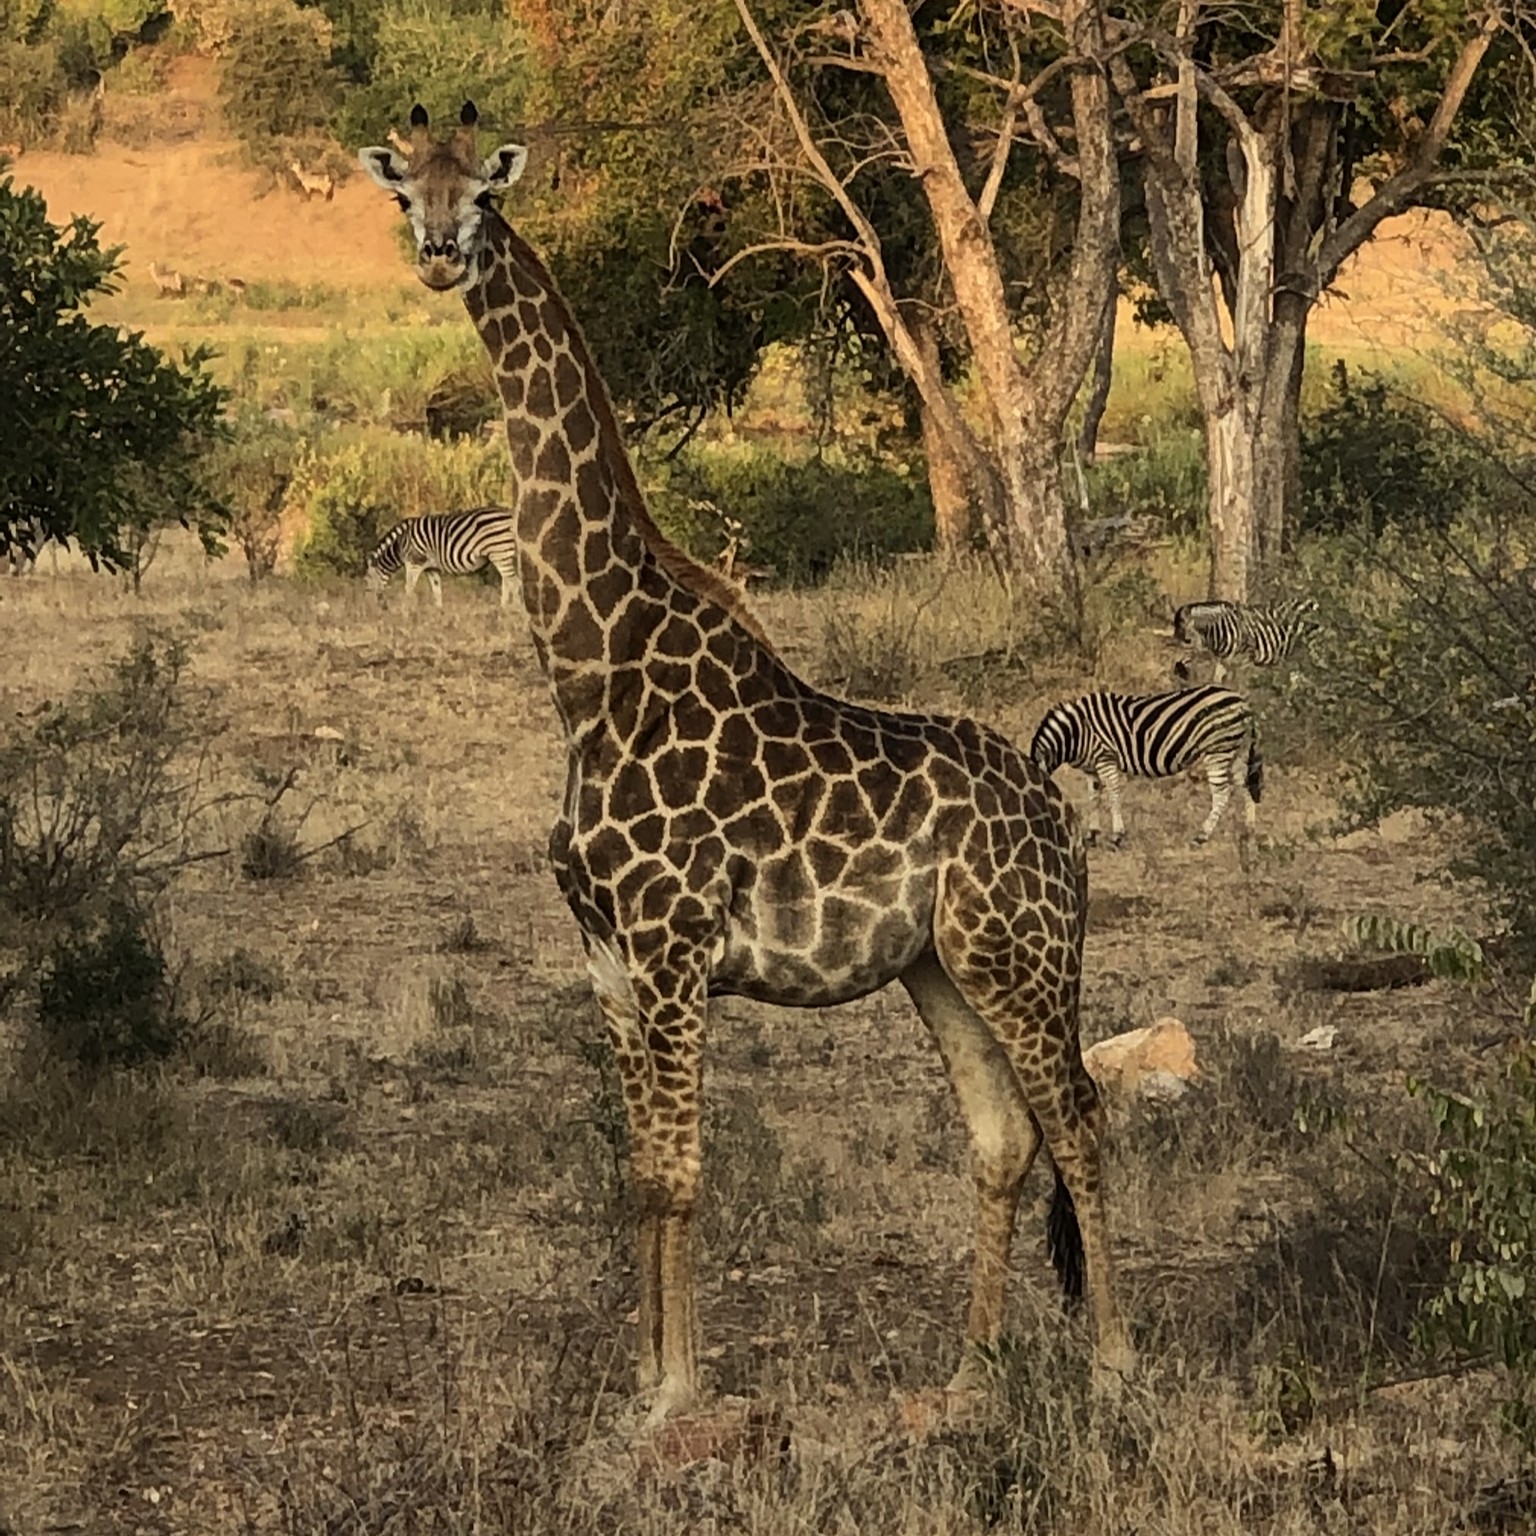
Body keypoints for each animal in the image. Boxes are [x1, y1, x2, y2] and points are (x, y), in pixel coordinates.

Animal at [360, 103, 1135, 1427]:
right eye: (403, 188)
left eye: (487, 192)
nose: (440, 253)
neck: (590, 669)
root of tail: (1060, 821)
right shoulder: (606, 959)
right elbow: (642, 1175)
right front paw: (640, 1388)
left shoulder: (672, 949)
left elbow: (682, 1172)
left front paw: (678, 1398)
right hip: (942, 965)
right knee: (1004, 1136)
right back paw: (965, 1381)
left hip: (1021, 954)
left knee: (1080, 1118)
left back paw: (1119, 1371)